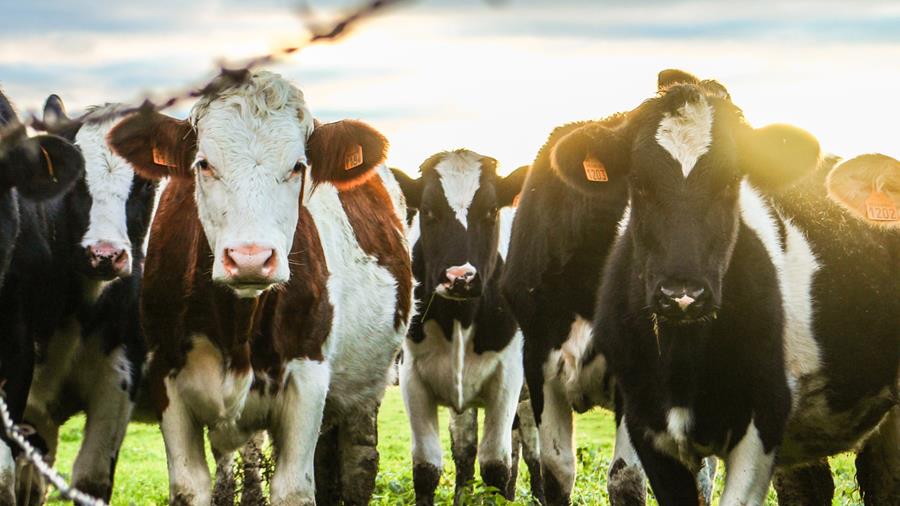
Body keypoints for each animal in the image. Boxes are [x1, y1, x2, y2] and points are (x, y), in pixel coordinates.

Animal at [108, 70, 412, 505]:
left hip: (366, 386)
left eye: (298, 166)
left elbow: (293, 488)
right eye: (204, 164)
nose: (250, 258)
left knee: (358, 463)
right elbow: (190, 485)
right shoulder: (167, 381)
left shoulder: (308, 381)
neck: (235, 325)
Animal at [390, 150, 531, 505]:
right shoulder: (412, 378)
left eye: (491, 210)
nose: (460, 277)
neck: (460, 317)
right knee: (466, 450)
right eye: (428, 211)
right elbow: (427, 468)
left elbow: (496, 466)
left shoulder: (508, 377)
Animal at [553, 79, 899, 504]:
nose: (681, 295)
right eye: (640, 184)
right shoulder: (643, 420)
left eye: (731, 182)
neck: (684, 364)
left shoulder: (763, 417)